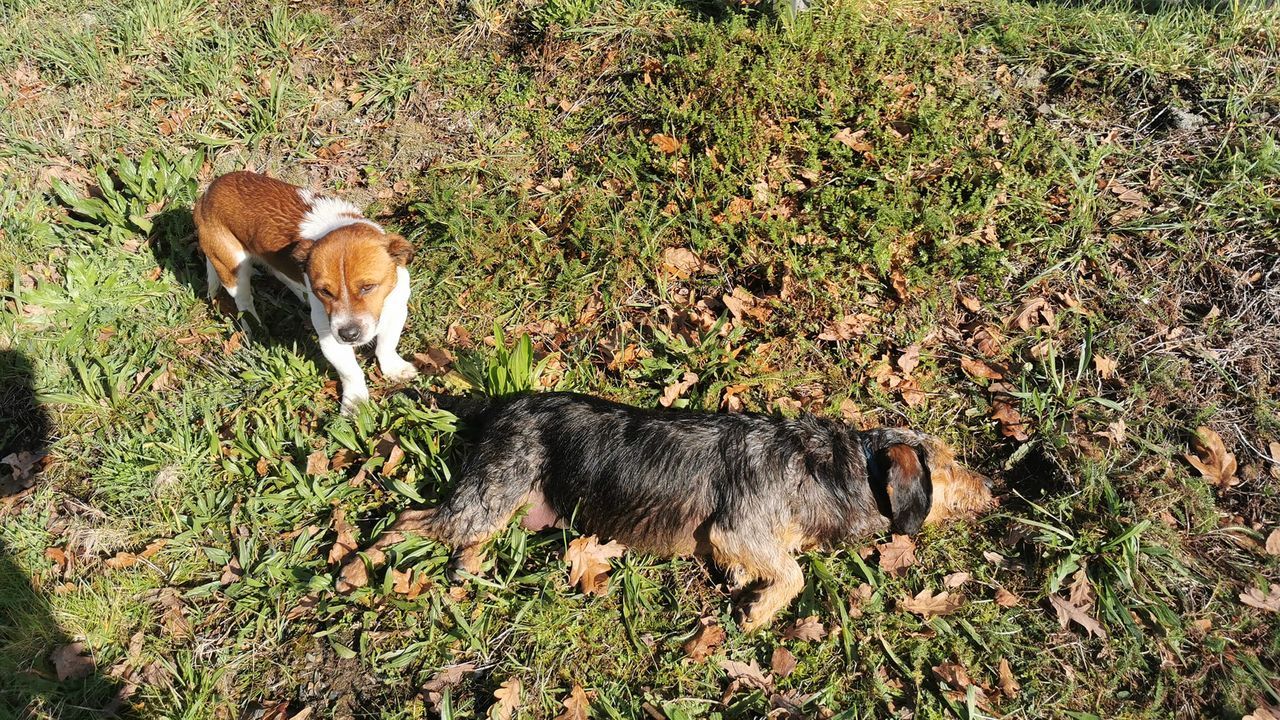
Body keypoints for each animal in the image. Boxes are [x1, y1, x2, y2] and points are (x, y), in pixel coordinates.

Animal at [194, 170, 417, 412]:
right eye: (325, 292)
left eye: (368, 287)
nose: (348, 335)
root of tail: (208, 192)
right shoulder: (330, 337)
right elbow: (351, 372)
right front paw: (355, 402)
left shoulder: (396, 310)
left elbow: (386, 346)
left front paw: (394, 369)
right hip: (232, 266)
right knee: (243, 302)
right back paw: (255, 327)